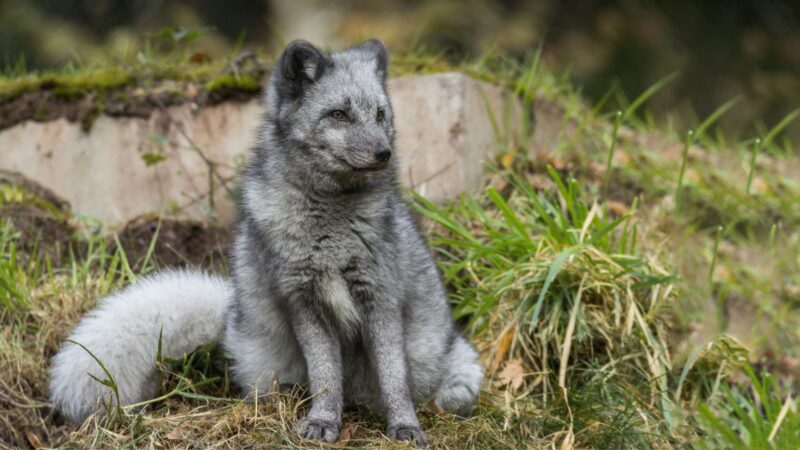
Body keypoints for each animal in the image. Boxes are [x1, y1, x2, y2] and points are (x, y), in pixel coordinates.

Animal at [49, 39, 483, 447]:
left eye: (380, 115)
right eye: (338, 114)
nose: (384, 153)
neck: (330, 225)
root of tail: (231, 312)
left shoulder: (380, 298)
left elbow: (393, 375)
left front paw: (405, 426)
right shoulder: (303, 301)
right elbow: (325, 374)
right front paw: (323, 421)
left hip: (462, 376)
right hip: (264, 363)